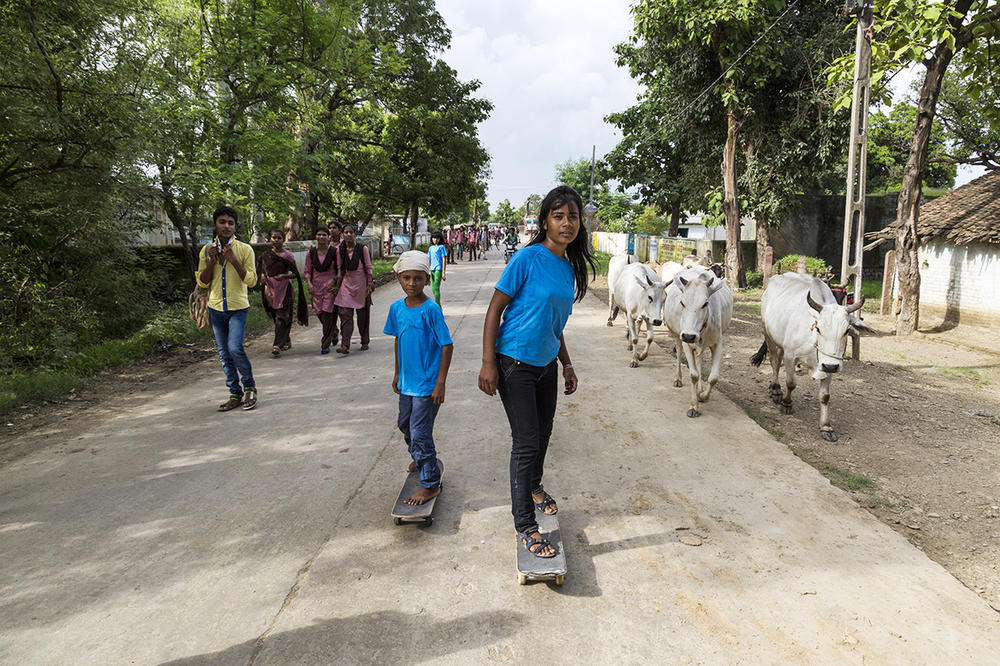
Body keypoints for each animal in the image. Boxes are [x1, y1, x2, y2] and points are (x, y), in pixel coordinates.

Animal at [664, 266, 736, 416]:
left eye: (705, 303)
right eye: (682, 303)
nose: (689, 336)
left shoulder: (717, 343)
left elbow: (713, 377)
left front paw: (702, 396)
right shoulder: (686, 342)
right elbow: (694, 375)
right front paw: (693, 406)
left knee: (699, 360)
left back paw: (700, 389)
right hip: (677, 336)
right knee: (678, 353)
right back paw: (678, 379)